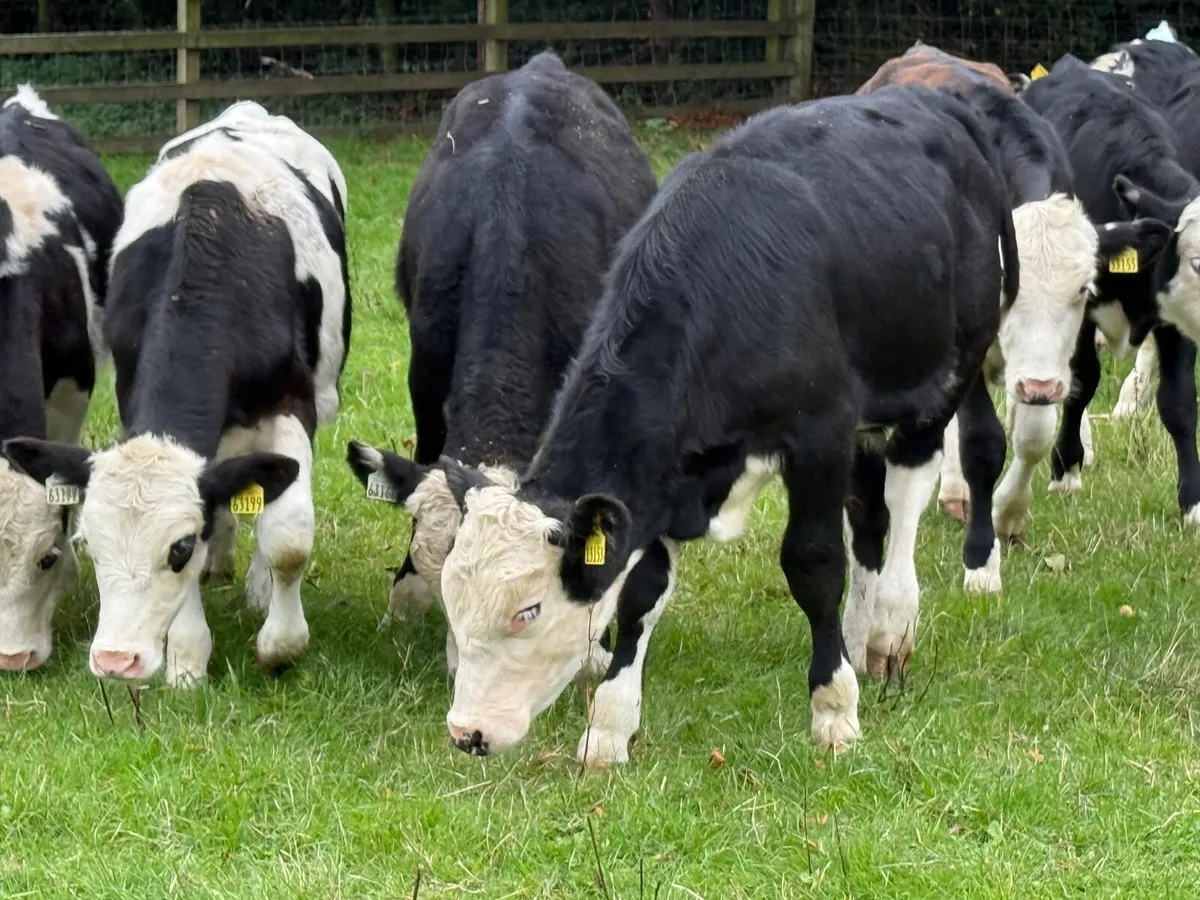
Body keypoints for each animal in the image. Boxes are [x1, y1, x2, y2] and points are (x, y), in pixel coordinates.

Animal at [3, 101, 350, 684]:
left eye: (178, 549)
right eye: (89, 546)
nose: (115, 661)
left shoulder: (293, 405)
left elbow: (288, 539)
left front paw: (280, 644)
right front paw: (187, 660)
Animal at [419, 86, 1020, 764]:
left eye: (528, 610)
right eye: (451, 598)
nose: (467, 733)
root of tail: (936, 100)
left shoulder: (820, 433)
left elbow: (814, 565)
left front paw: (834, 709)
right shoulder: (663, 474)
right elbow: (641, 592)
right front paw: (610, 727)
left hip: (947, 371)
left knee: (910, 490)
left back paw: (891, 625)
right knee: (870, 514)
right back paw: (860, 632)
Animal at [859, 45, 1102, 555]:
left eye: (1083, 289)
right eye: (1006, 284)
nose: (1040, 388)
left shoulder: (1040, 364)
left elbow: (1033, 436)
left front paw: (1008, 513)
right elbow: (982, 441)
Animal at [1021, 56, 1200, 519]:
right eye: (1197, 262)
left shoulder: (1175, 320)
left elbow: (1179, 402)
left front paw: (1192, 501)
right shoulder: (1079, 310)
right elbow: (1082, 381)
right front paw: (1066, 469)